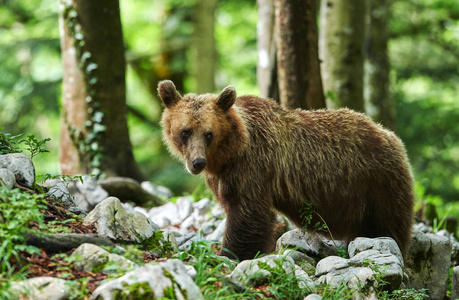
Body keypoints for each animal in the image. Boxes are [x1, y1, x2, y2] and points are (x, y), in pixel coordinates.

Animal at [159, 81, 416, 262]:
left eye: (208, 133)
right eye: (185, 132)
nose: (197, 162)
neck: (231, 151)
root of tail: (389, 134)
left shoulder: (252, 166)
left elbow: (246, 213)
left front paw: (228, 253)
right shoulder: (222, 176)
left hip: (377, 182)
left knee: (389, 225)